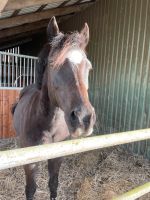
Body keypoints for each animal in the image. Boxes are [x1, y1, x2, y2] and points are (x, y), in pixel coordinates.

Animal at [12, 16, 95, 199]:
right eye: (52, 64)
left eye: (89, 66)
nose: (83, 119)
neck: (48, 125)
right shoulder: (30, 162)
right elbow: (30, 189)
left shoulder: (57, 157)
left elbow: (53, 184)